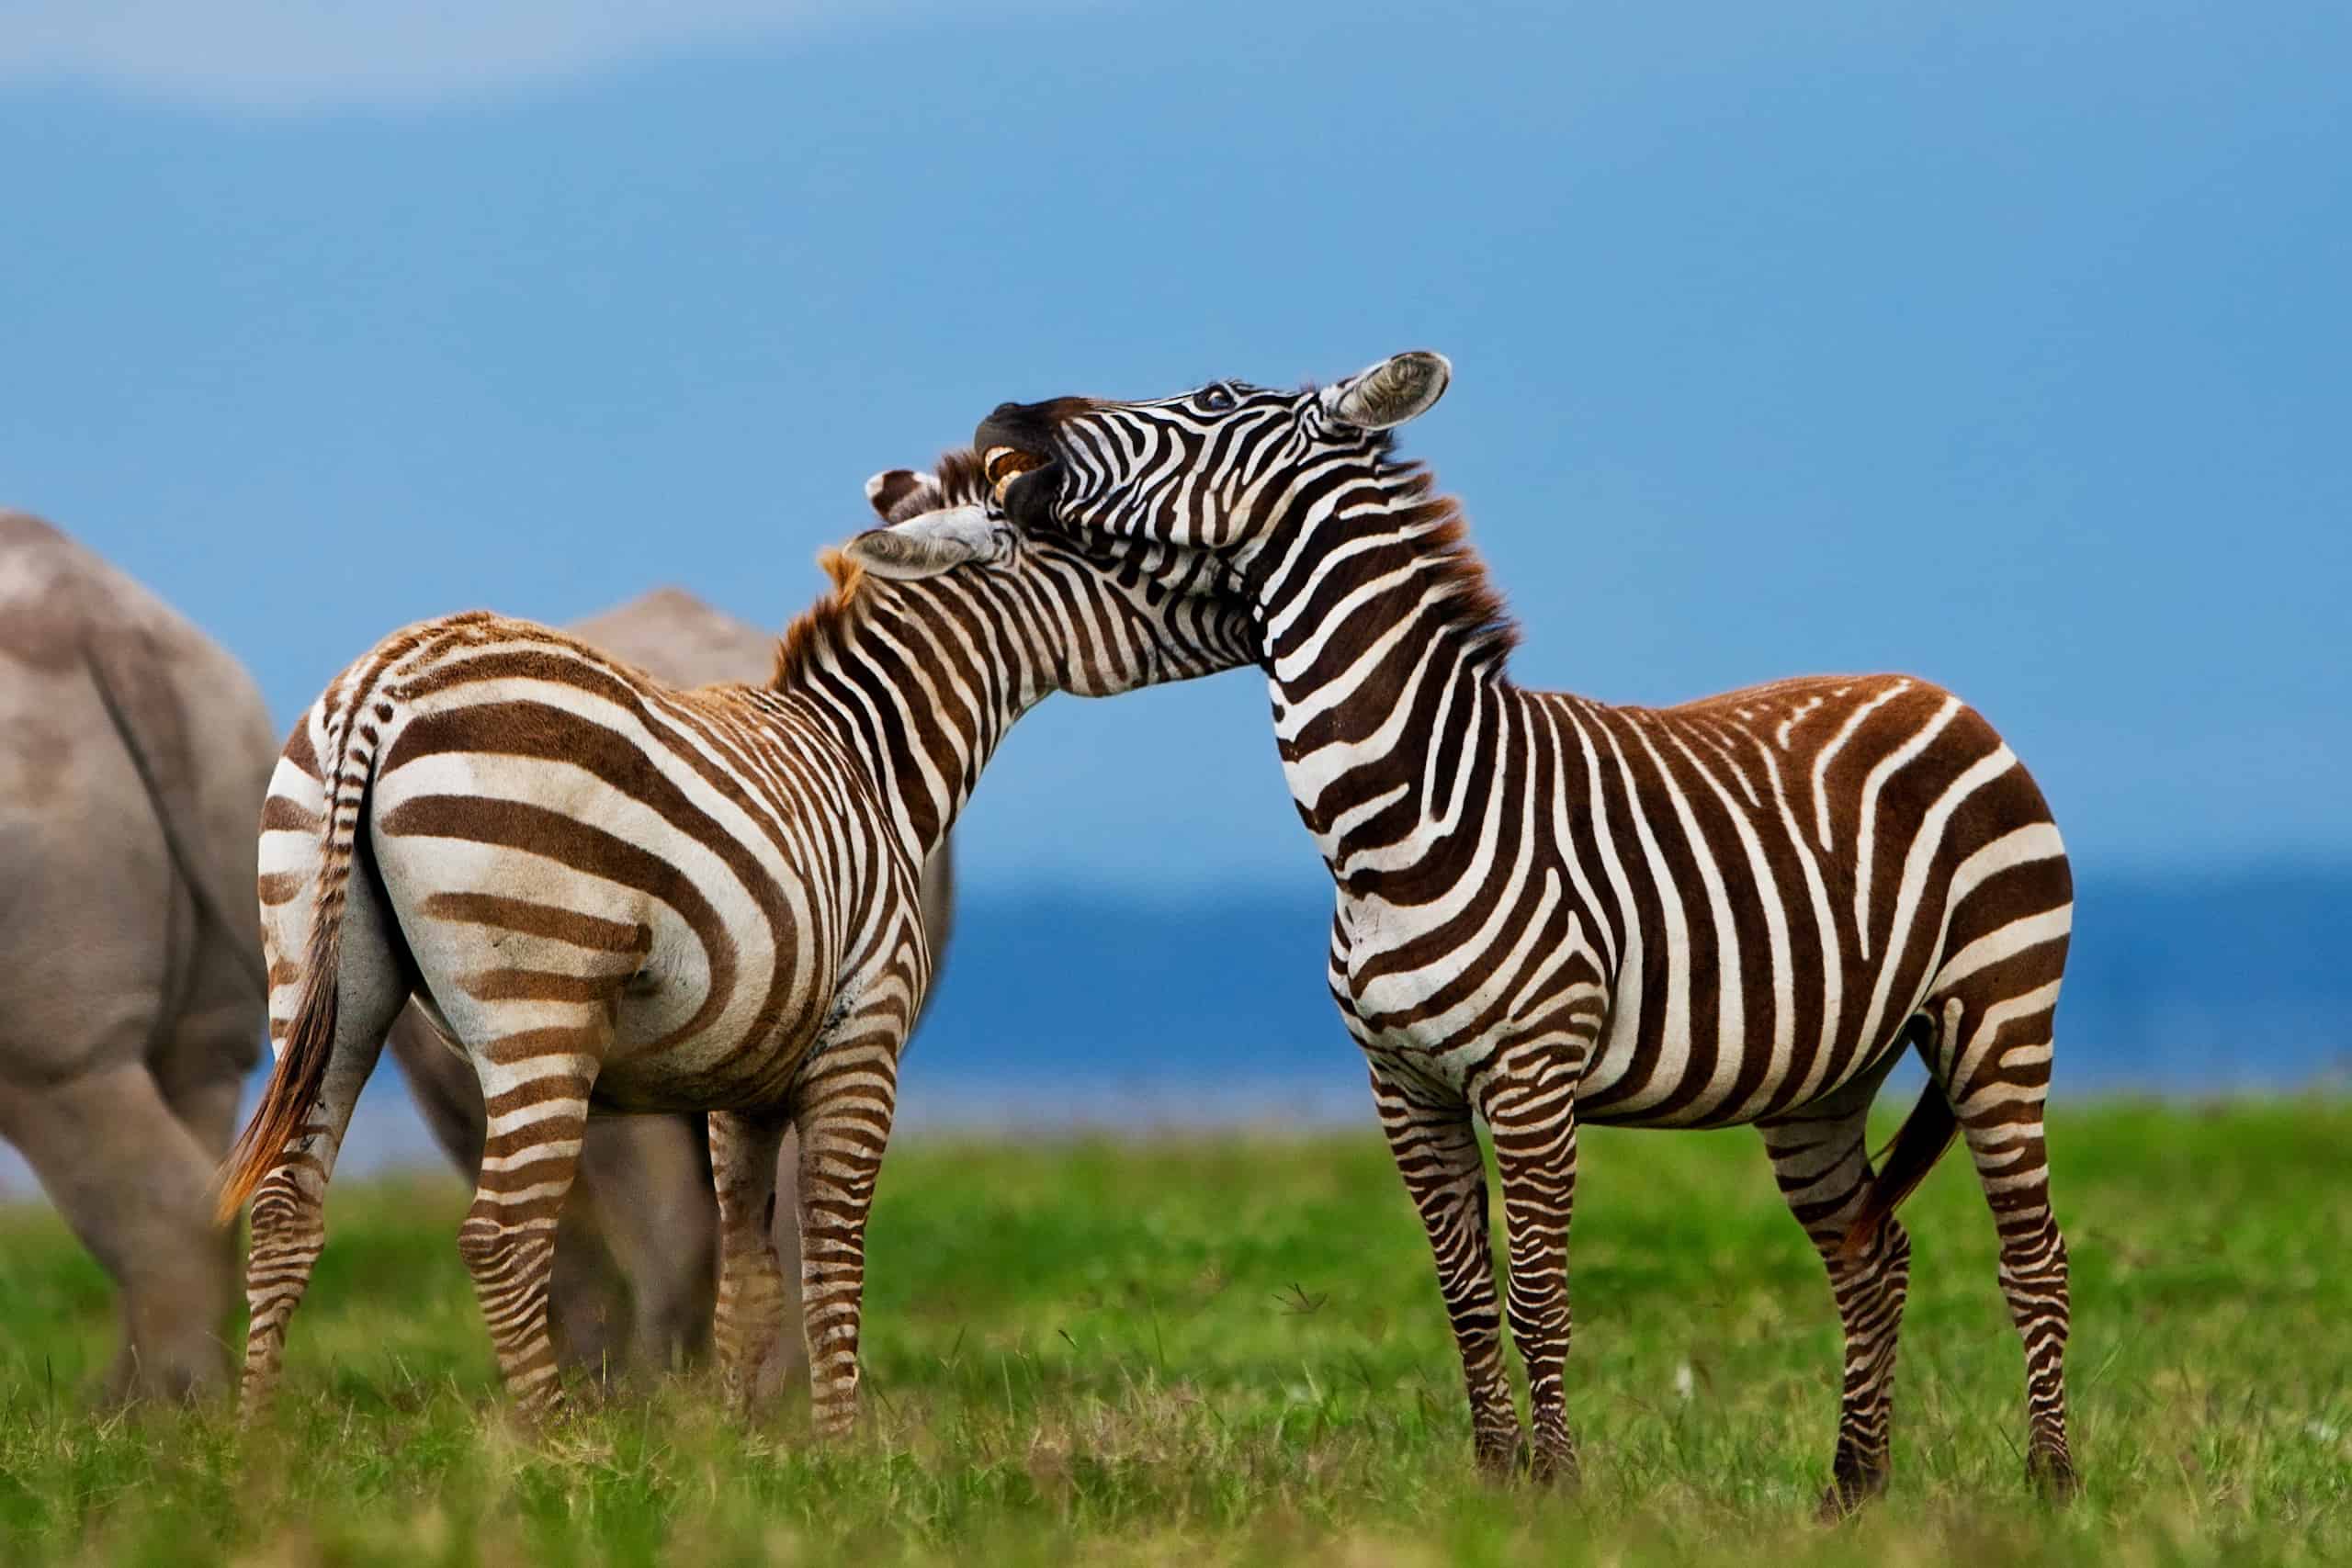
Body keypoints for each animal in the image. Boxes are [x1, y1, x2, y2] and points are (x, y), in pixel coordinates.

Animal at [211, 456, 1261, 1438]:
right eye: (1118, 545)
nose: (1250, 604)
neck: (871, 763)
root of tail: (383, 686)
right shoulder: (862, 1037)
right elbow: (831, 1248)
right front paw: (840, 1451)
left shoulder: (745, 1077)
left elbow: (750, 1274)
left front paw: (741, 1449)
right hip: (539, 1001)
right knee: (503, 1235)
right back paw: (557, 1450)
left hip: (323, 977)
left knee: (286, 1206)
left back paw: (261, 1448)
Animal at [973, 355, 2079, 1504]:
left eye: (1213, 402)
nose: (1007, 415)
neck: (1398, 817)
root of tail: (1940, 696)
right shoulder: (1403, 1087)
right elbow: (1463, 1296)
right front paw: (1494, 1479)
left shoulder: (1531, 1075)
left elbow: (1536, 1294)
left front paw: (1554, 1485)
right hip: (1820, 1078)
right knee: (1871, 1256)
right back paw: (1851, 1489)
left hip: (1999, 1017)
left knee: (2032, 1256)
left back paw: (2050, 1483)